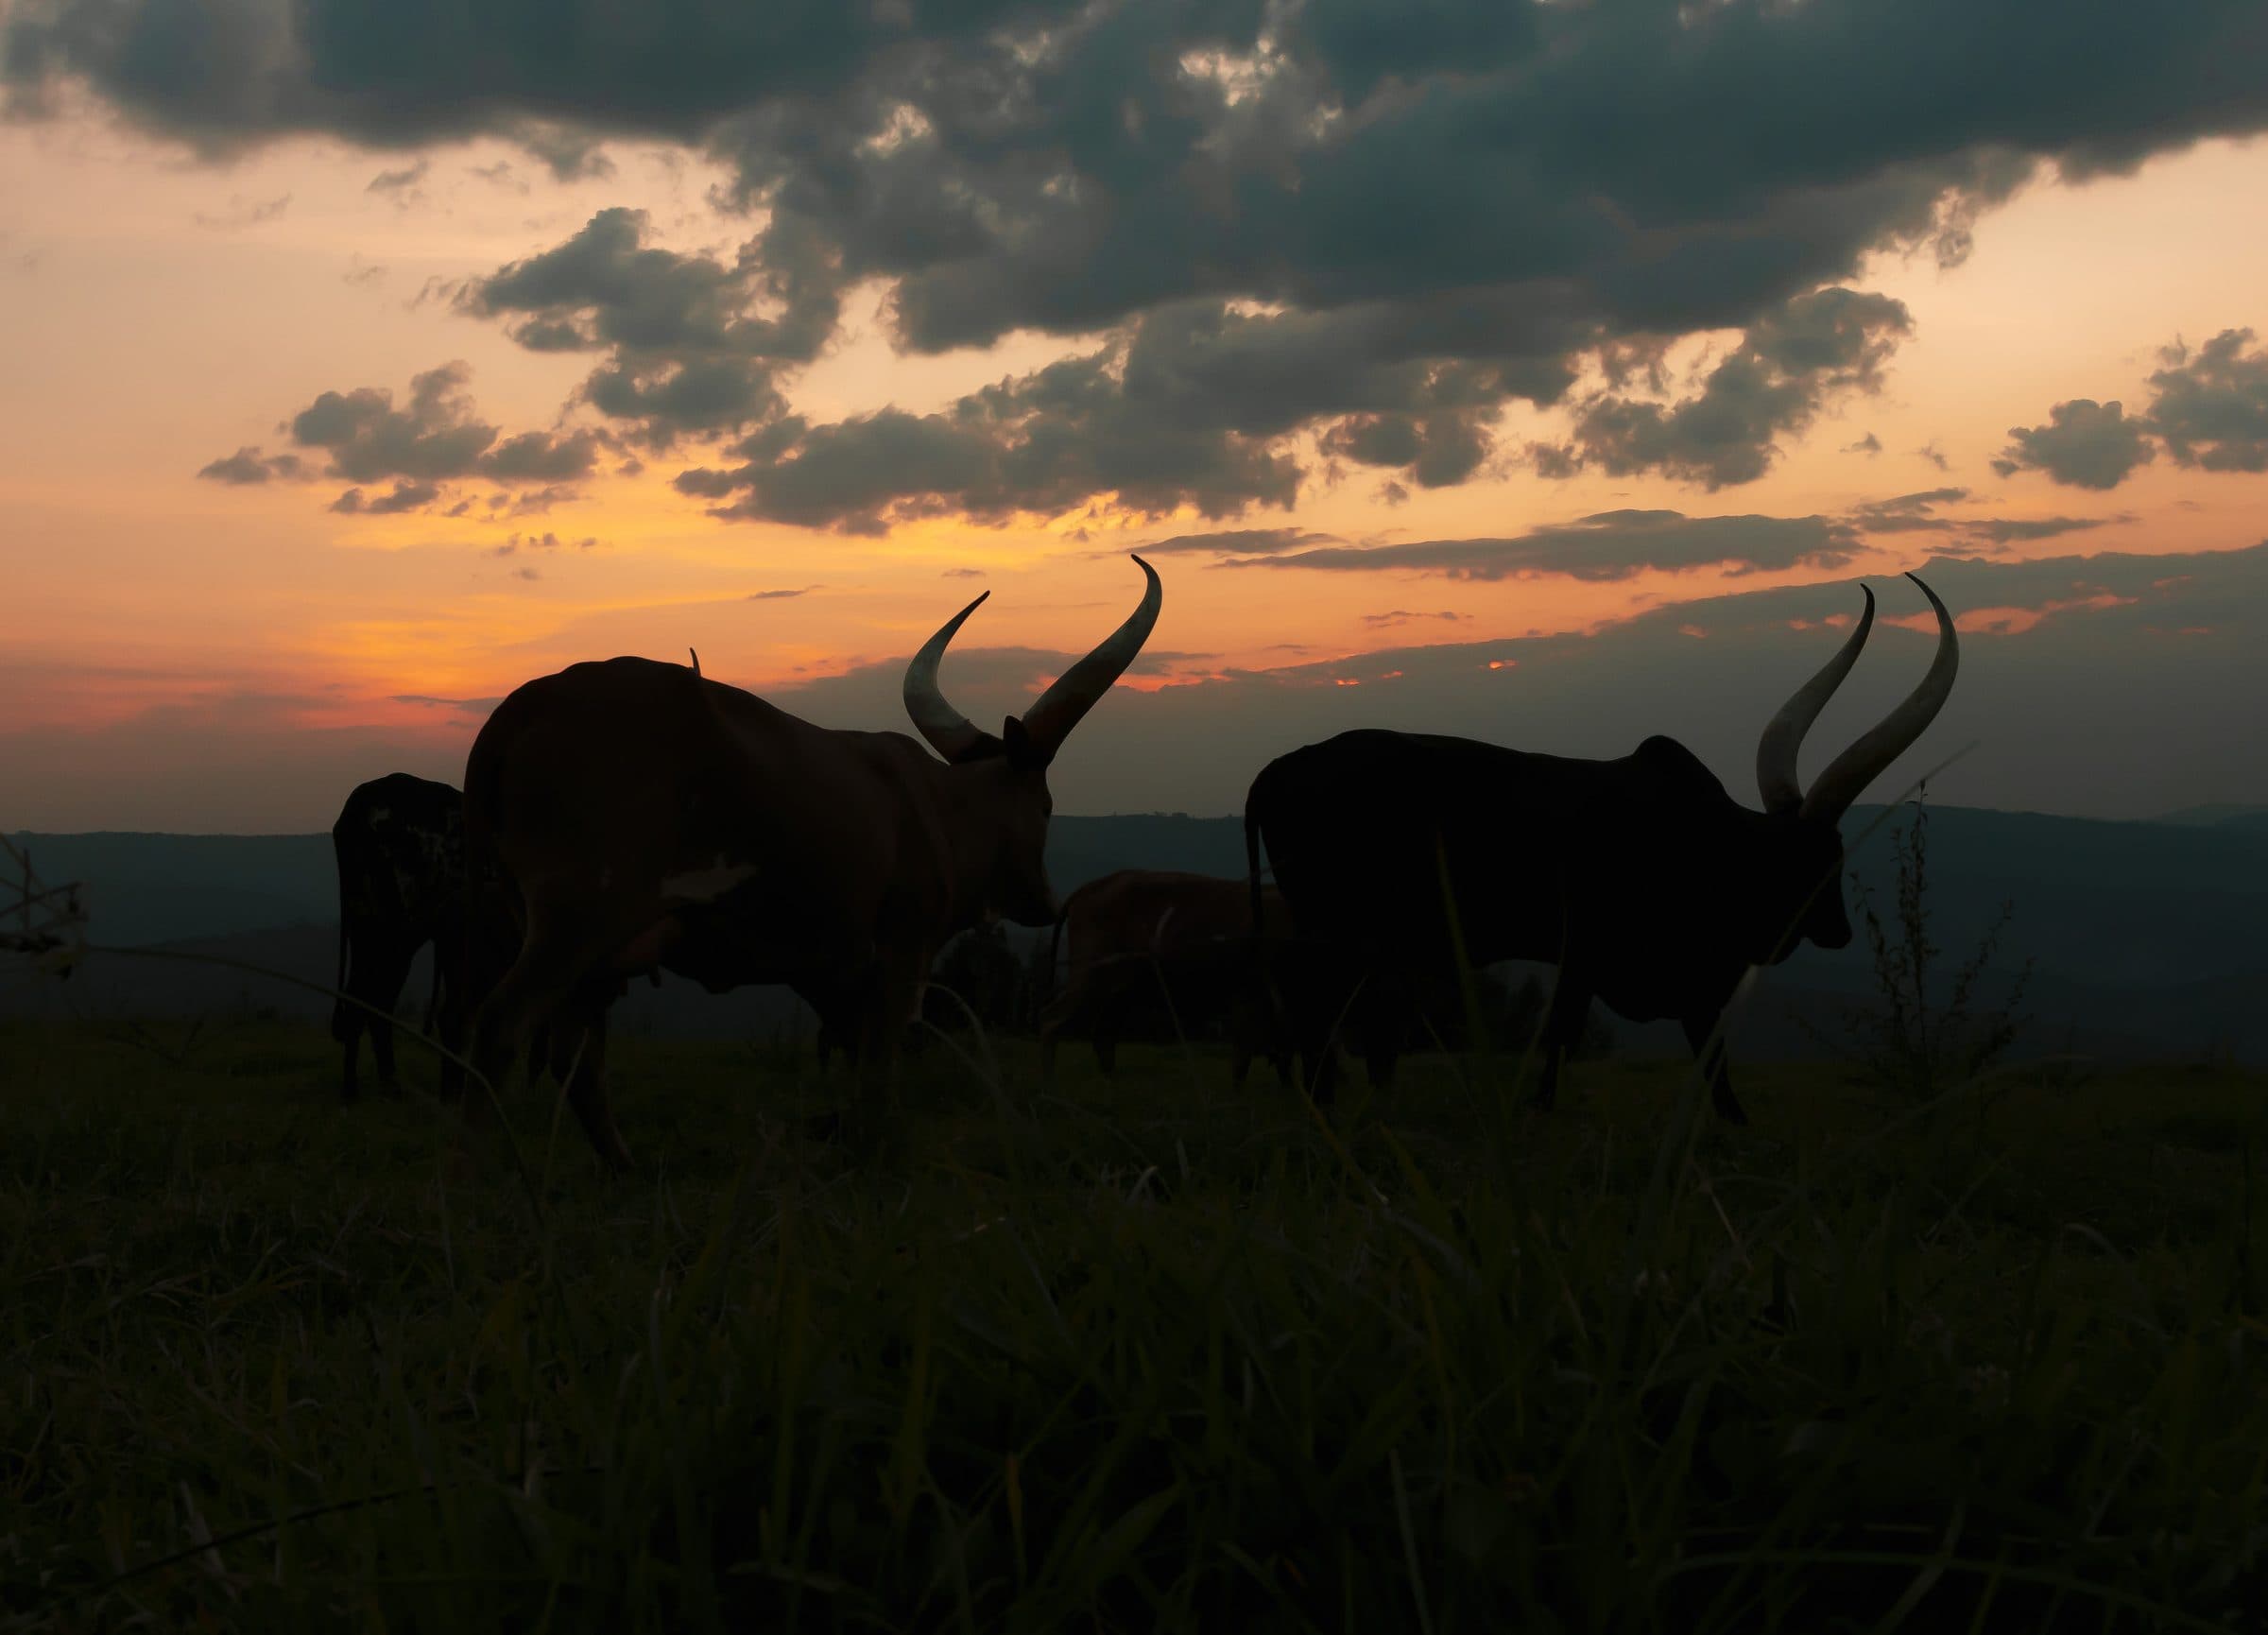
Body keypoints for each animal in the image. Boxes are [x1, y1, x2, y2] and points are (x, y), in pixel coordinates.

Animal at [330, 773, 464, 1100]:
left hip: (369, 931)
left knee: (370, 1001)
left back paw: (383, 1085)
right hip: (393, 936)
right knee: (370, 1001)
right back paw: (356, 1091)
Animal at [459, 556, 1162, 1170]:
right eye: (1045, 806)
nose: (1046, 903)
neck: (938, 806)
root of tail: (523, 708)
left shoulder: (828, 970)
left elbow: (853, 1065)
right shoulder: (901, 956)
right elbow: (878, 1072)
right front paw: (879, 1161)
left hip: (585, 948)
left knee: (574, 1057)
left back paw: (622, 1167)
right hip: (577, 920)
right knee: (499, 1026)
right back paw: (478, 1174)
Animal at [1037, 870, 1297, 1090]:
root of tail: (1088, 888)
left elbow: (1283, 1056)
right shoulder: (1248, 995)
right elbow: (1244, 1056)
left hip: (1119, 992)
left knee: (1103, 1036)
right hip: (1090, 976)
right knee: (1051, 1019)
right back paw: (1048, 1086)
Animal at [1244, 574, 1960, 1125]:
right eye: (1825, 858)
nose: (1839, 932)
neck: (1711, 844)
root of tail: (1277, 768)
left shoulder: (1661, 979)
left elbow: (1705, 1062)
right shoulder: (1599, 956)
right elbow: (1574, 1039)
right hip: (1340, 933)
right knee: (1317, 1008)